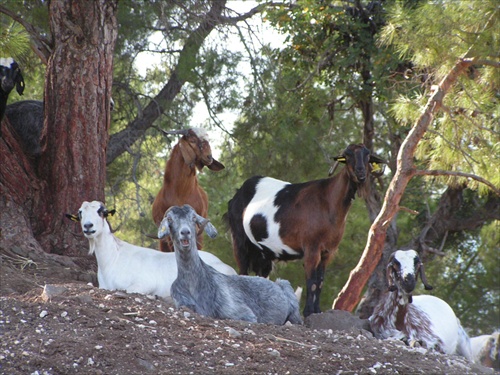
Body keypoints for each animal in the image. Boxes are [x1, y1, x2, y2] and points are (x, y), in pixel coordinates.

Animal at [66, 201, 236, 302]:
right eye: (80, 213)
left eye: (102, 212)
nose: (88, 226)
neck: (114, 258)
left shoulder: (144, 283)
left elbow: (130, 290)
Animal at [225, 144, 384, 318]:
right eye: (347, 156)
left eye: (367, 155)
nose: (361, 173)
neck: (328, 201)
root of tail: (237, 194)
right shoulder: (311, 247)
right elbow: (311, 280)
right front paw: (308, 312)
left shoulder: (327, 251)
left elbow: (320, 281)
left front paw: (317, 310)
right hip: (240, 239)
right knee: (242, 268)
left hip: (264, 251)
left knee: (262, 273)